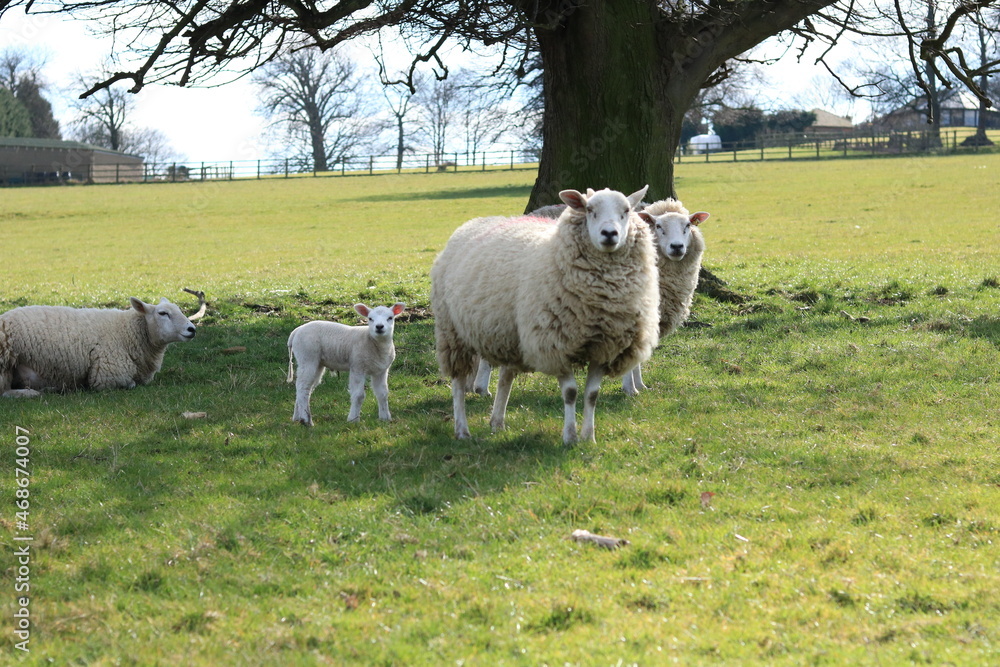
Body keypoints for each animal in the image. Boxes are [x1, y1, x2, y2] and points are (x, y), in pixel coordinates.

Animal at [0, 297, 197, 397]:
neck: (127, 331)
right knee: (4, 392)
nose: (192, 329)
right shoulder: (106, 376)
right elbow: (130, 384)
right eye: (163, 313)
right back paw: (33, 393)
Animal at [431, 186, 659, 445]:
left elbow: (592, 395)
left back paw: (497, 422)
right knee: (458, 383)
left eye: (627, 210)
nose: (609, 234)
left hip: (510, 334)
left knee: (505, 378)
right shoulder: (556, 344)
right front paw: (570, 437)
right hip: (452, 332)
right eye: (589, 209)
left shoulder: (604, 347)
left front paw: (589, 437)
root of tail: (473, 222)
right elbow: (570, 393)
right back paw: (462, 430)